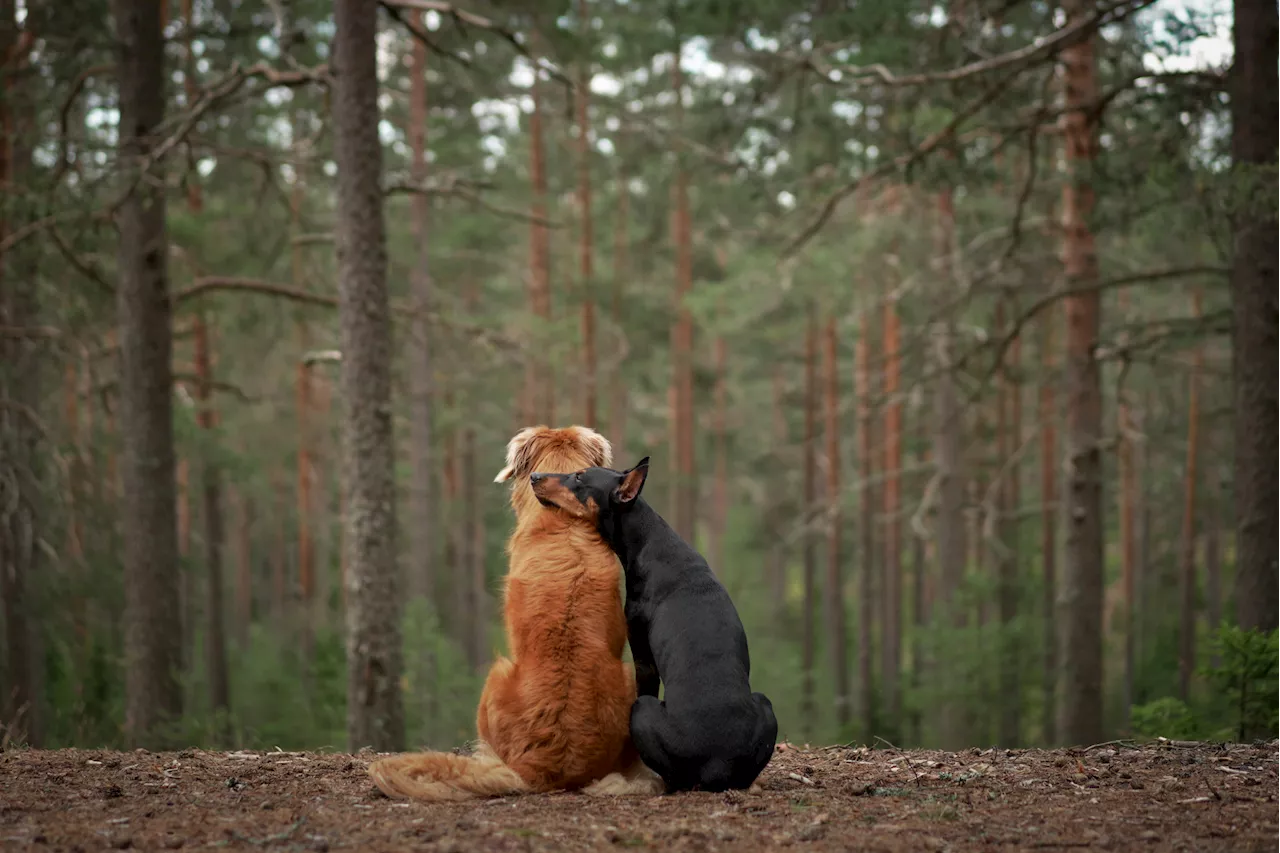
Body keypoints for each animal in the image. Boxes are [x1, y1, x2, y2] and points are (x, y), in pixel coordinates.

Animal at [527, 458, 773, 788]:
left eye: (579, 477)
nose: (534, 475)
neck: (647, 541)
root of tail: (717, 762)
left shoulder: (643, 658)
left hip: (643, 712)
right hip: (765, 704)